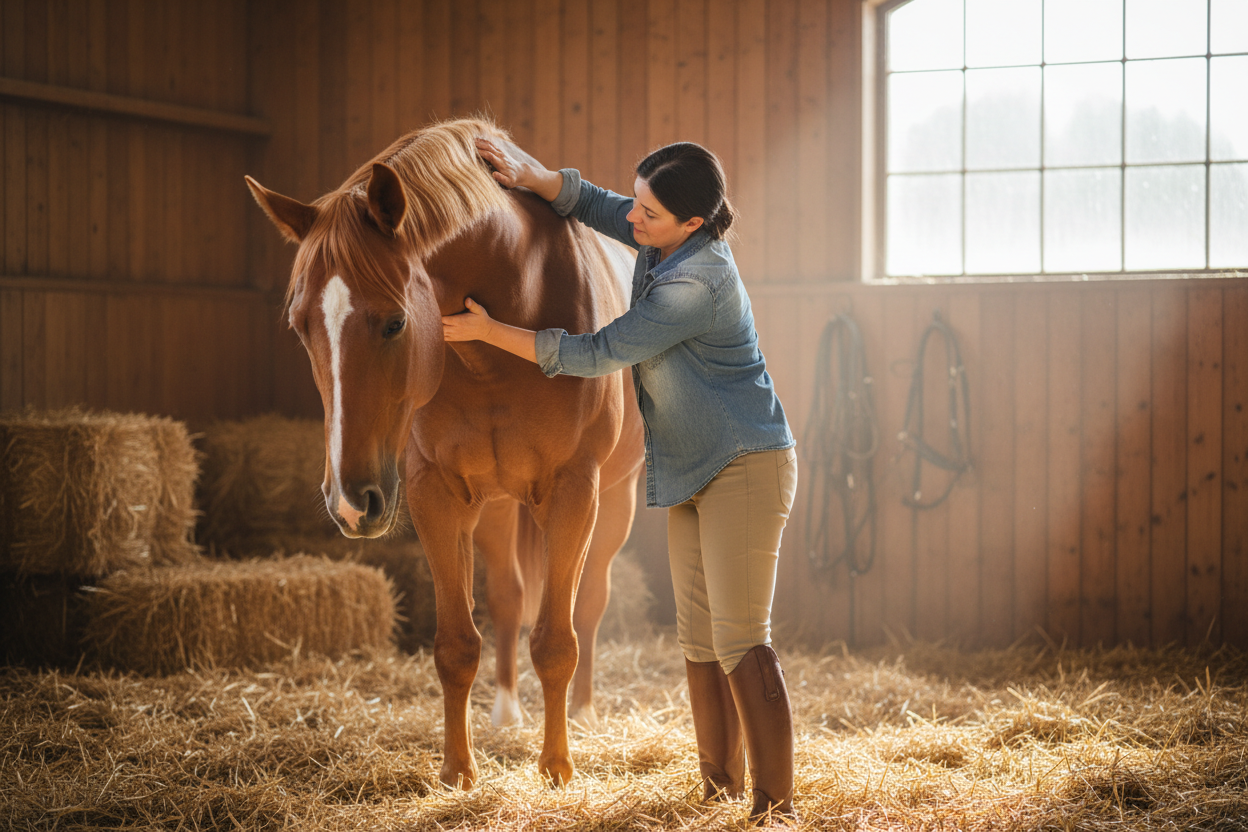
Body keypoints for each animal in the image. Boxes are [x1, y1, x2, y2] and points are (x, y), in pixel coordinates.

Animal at [244, 117, 644, 788]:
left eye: (395, 324)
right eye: (301, 327)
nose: (350, 504)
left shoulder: (574, 490)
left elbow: (557, 641)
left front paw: (557, 769)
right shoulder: (437, 493)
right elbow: (457, 644)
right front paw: (458, 772)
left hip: (614, 501)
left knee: (589, 603)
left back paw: (586, 715)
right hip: (499, 507)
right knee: (509, 597)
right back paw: (506, 713)